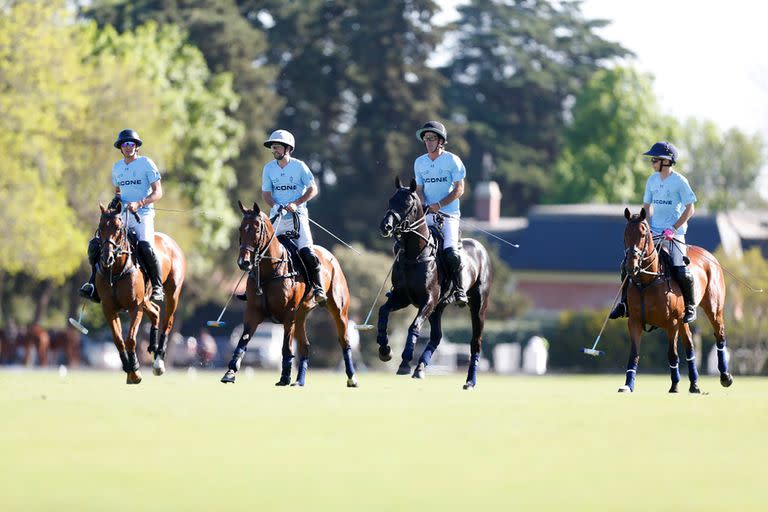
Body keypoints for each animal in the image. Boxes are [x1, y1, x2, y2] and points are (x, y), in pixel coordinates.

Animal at [96, 204, 186, 384]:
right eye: (100, 228)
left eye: (118, 228)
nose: (106, 258)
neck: (116, 270)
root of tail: (171, 241)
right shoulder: (108, 308)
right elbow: (118, 340)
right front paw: (128, 368)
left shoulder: (134, 307)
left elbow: (130, 339)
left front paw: (135, 371)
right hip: (145, 299)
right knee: (156, 312)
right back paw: (153, 346)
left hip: (172, 293)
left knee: (168, 321)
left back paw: (158, 361)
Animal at [219, 202, 356, 386]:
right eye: (241, 229)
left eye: (256, 229)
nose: (244, 263)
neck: (269, 271)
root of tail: (331, 257)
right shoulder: (253, 311)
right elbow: (243, 339)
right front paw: (230, 373)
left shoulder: (288, 313)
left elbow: (286, 346)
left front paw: (284, 376)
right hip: (301, 315)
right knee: (305, 346)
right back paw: (299, 382)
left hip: (338, 310)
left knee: (344, 341)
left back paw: (352, 378)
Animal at [378, 178, 492, 390]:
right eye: (390, 200)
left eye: (407, 203)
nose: (385, 226)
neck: (415, 255)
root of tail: (481, 248)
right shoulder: (402, 297)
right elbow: (383, 312)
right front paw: (385, 349)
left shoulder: (429, 299)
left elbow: (414, 326)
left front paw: (405, 361)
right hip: (438, 308)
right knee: (437, 337)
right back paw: (420, 368)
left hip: (478, 305)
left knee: (476, 342)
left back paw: (470, 381)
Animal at [616, 208, 732, 392]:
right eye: (625, 234)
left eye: (643, 234)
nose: (631, 267)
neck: (647, 280)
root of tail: (710, 256)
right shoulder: (634, 321)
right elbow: (634, 354)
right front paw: (628, 385)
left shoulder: (672, 321)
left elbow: (672, 354)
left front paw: (675, 385)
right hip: (684, 318)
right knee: (690, 345)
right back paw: (694, 384)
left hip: (713, 308)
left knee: (719, 334)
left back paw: (725, 376)